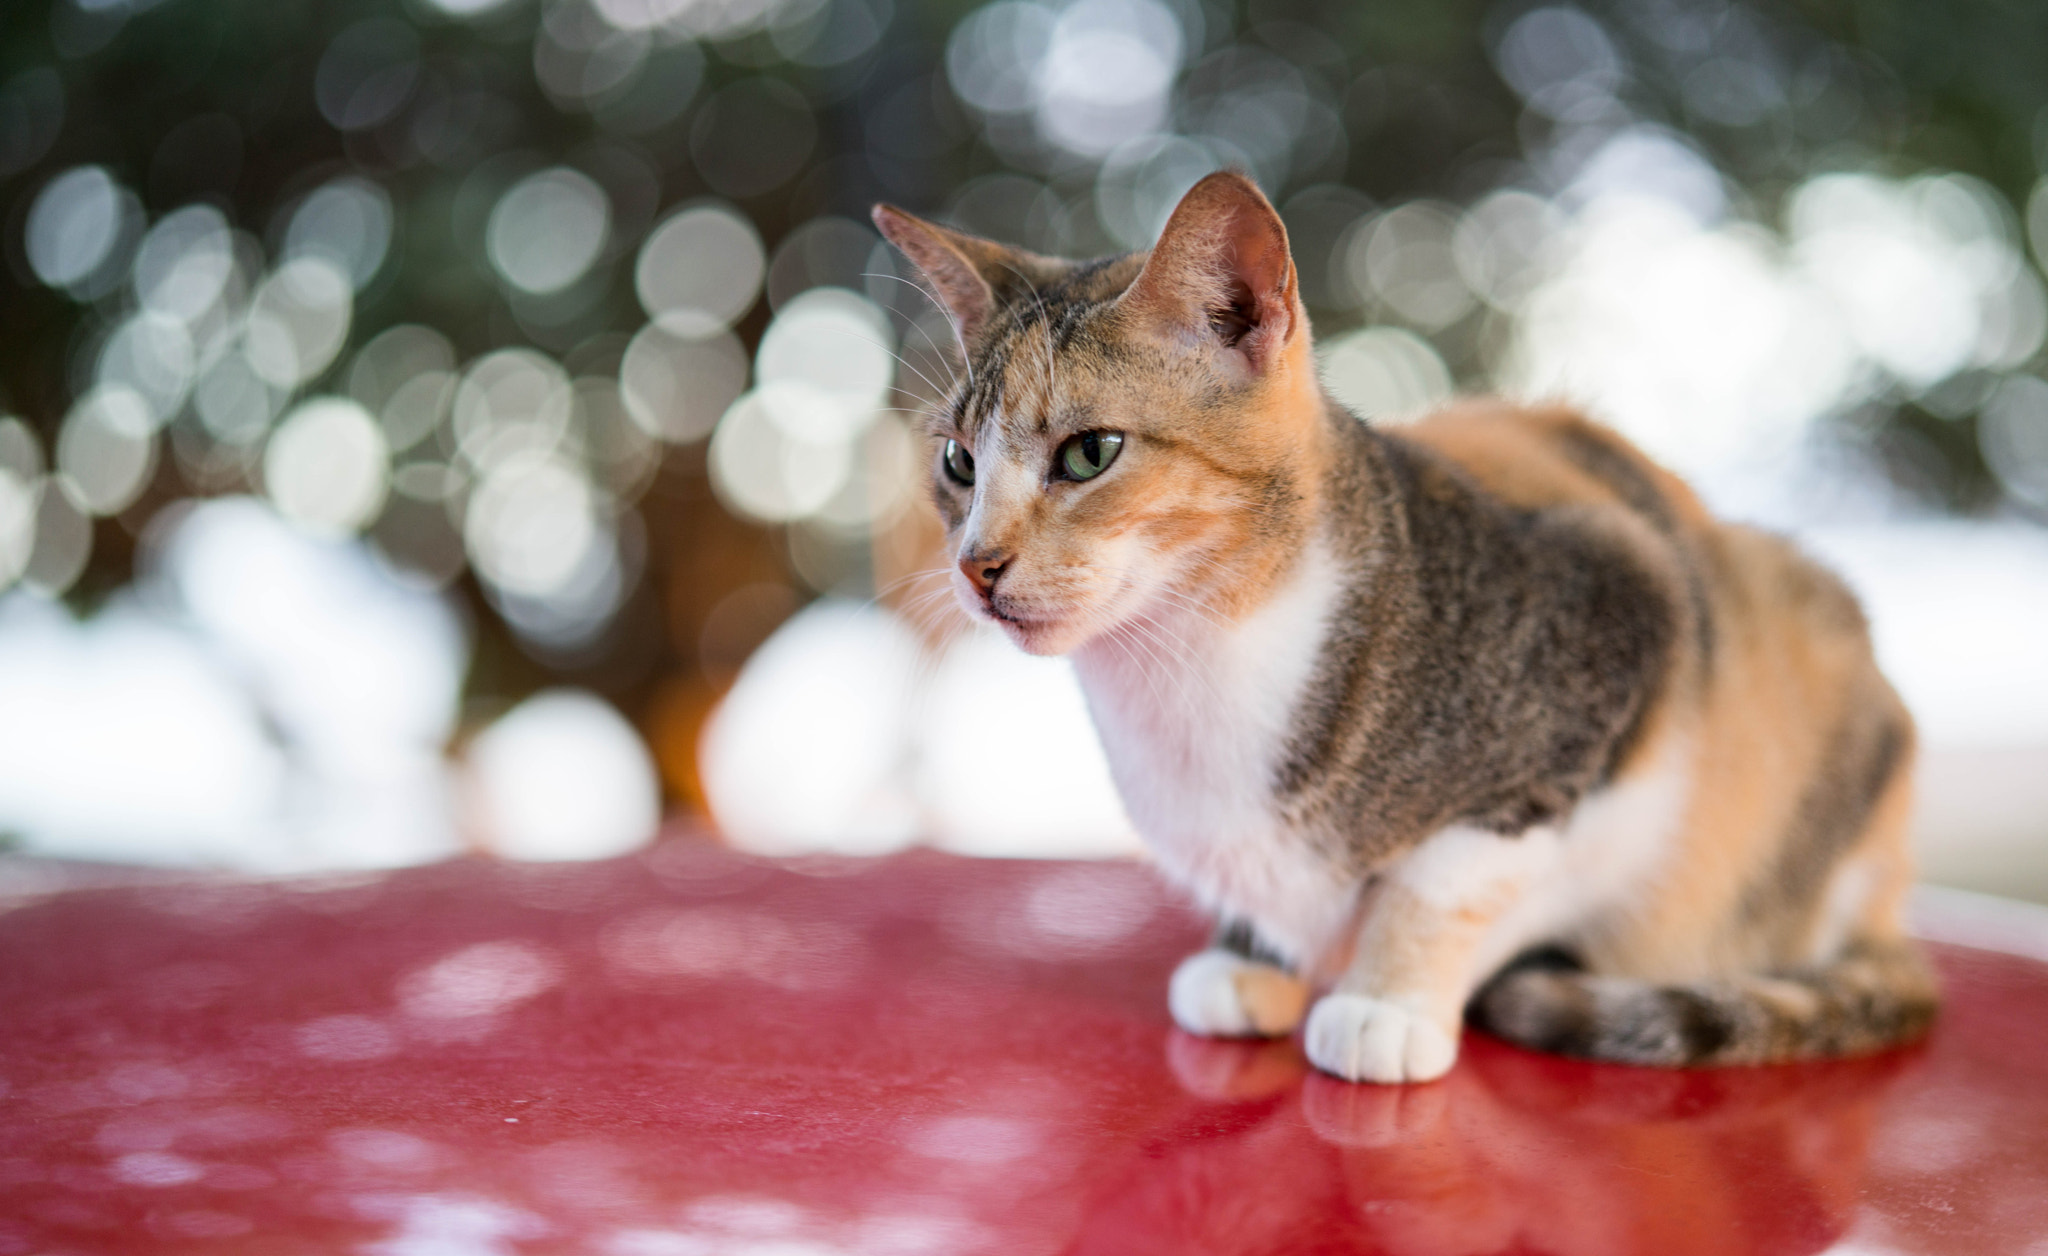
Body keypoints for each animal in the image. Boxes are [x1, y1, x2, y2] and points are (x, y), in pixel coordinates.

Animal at [872, 171, 1941, 1081]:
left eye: (1090, 452)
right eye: (958, 464)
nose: (975, 566)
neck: (1195, 659)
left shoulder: (1625, 621)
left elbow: (1451, 879)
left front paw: (1386, 1002)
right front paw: (1251, 957)